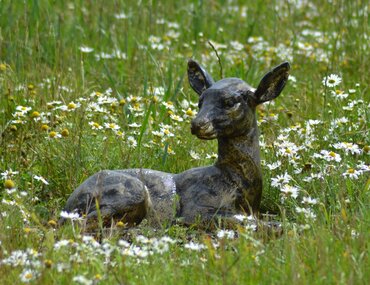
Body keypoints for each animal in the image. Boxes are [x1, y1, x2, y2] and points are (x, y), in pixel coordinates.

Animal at [62, 59, 290, 226]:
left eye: (229, 102)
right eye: (200, 101)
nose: (197, 124)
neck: (239, 186)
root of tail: (69, 203)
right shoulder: (195, 209)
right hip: (131, 191)